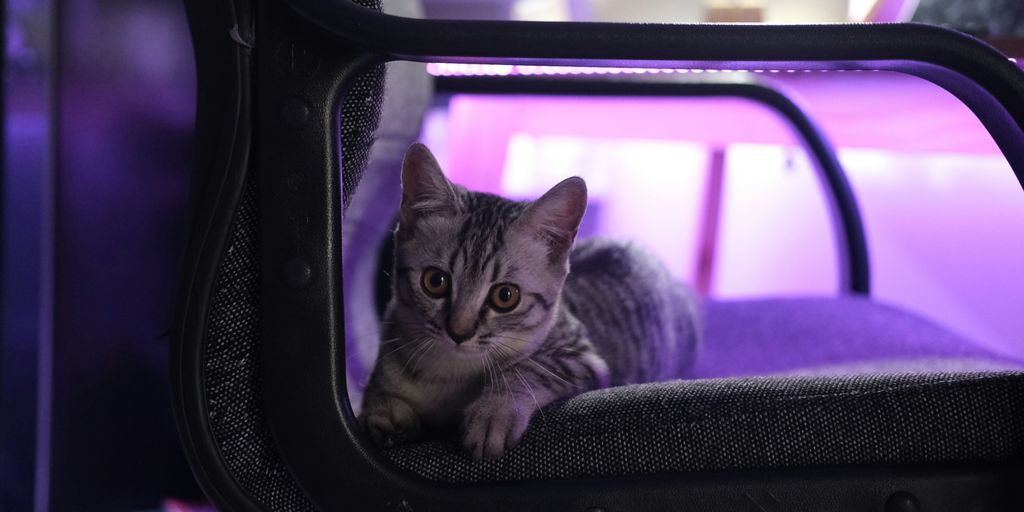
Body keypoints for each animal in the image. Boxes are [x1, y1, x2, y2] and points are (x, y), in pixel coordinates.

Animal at [360, 143, 704, 460]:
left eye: (505, 296)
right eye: (435, 281)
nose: (459, 331)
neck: (446, 374)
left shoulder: (581, 357)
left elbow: (530, 368)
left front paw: (493, 413)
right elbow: (375, 398)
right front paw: (385, 413)